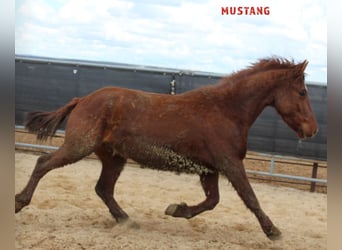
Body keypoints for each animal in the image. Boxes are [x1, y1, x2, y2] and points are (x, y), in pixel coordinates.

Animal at [14, 57, 318, 240]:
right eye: (302, 92)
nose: (312, 130)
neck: (227, 111)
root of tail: (83, 99)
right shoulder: (230, 164)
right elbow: (250, 198)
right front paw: (273, 231)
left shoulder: (209, 169)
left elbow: (212, 201)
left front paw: (176, 209)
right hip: (79, 146)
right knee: (43, 163)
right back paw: (19, 202)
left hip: (113, 157)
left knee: (103, 188)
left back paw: (127, 220)